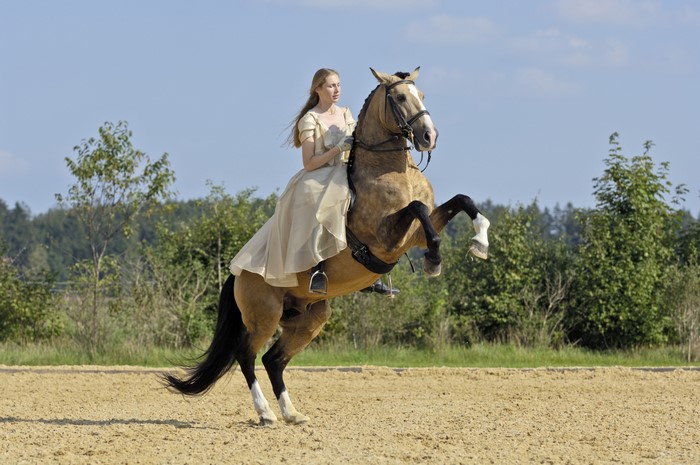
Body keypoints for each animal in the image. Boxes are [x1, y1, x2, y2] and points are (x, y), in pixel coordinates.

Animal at [164, 67, 490, 425]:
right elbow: (417, 208)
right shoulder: (387, 239)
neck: (391, 170)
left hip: (309, 318)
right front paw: (434, 259)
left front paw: (480, 241)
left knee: (273, 360)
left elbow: (461, 200)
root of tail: (237, 272)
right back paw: (266, 414)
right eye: (401, 97)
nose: (429, 137)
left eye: (423, 95)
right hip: (264, 316)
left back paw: (292, 413)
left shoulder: (414, 232)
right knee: (246, 355)